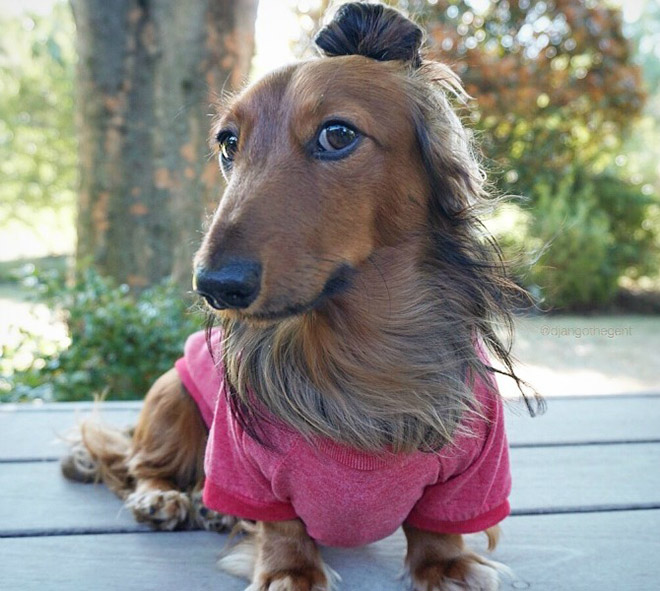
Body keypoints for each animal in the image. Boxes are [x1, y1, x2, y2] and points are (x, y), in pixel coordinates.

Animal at [59, 4, 540, 591]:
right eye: (229, 142)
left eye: (337, 134)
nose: (214, 286)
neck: (361, 348)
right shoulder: (243, 462)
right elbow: (280, 521)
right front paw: (290, 571)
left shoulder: (475, 469)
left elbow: (438, 524)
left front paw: (447, 566)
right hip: (173, 390)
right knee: (140, 464)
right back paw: (167, 497)